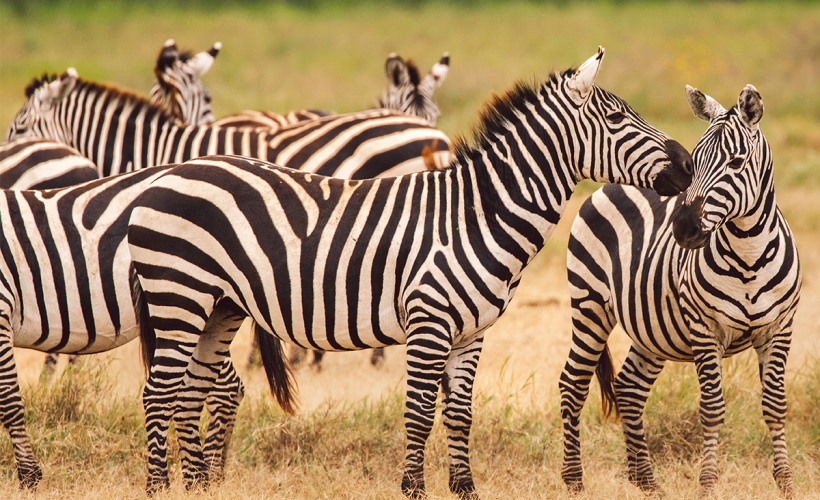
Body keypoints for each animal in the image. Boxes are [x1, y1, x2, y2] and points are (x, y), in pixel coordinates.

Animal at [126, 47, 694, 497]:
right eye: (617, 119)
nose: (688, 165)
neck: (475, 216)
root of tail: (164, 176)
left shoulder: (472, 332)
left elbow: (459, 413)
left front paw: (465, 489)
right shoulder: (429, 322)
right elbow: (420, 411)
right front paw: (414, 488)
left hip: (218, 307)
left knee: (191, 392)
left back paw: (196, 487)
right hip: (178, 296)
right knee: (159, 392)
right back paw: (158, 487)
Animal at [559, 84, 799, 498]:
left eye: (736, 162)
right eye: (695, 162)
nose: (684, 229)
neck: (749, 255)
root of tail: (616, 181)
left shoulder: (779, 329)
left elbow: (775, 405)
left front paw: (784, 481)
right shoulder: (705, 329)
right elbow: (712, 409)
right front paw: (708, 484)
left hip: (653, 330)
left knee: (630, 387)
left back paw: (645, 481)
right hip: (590, 305)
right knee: (572, 385)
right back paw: (574, 480)